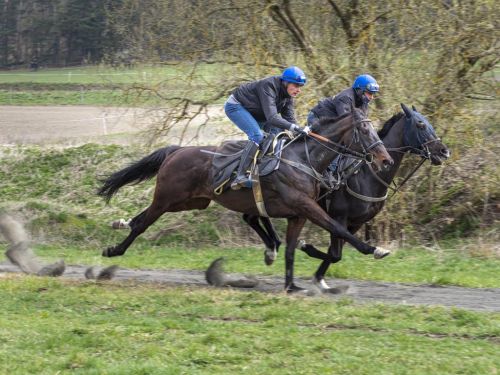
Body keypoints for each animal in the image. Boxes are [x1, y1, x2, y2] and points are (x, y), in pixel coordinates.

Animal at [98, 107, 394, 292]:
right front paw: (374, 249)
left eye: (376, 131)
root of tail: (177, 151)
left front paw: (290, 285)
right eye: (364, 131)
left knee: (142, 217)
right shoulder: (306, 206)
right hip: (167, 198)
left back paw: (119, 224)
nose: (385, 159)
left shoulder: (298, 213)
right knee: (142, 224)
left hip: (188, 202)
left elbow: (291, 249)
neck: (304, 159)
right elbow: (338, 230)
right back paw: (113, 250)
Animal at [241, 104, 450, 292]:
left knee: (252, 216)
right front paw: (306, 247)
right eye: (420, 125)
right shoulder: (339, 216)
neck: (368, 174)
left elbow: (336, 253)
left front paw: (318, 277)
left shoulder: (356, 222)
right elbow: (335, 253)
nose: (444, 151)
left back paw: (271, 248)